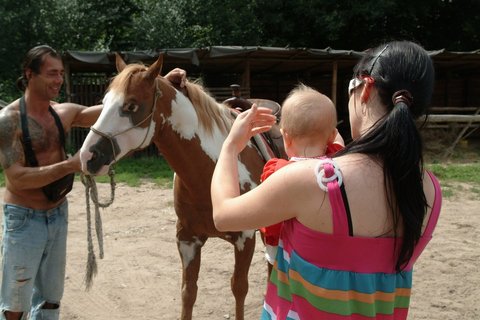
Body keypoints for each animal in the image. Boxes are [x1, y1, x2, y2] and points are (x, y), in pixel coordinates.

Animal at [79, 53, 278, 318]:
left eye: (131, 105)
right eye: (104, 102)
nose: (88, 156)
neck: (212, 173)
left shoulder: (244, 238)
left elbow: (239, 288)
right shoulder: (187, 239)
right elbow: (188, 292)